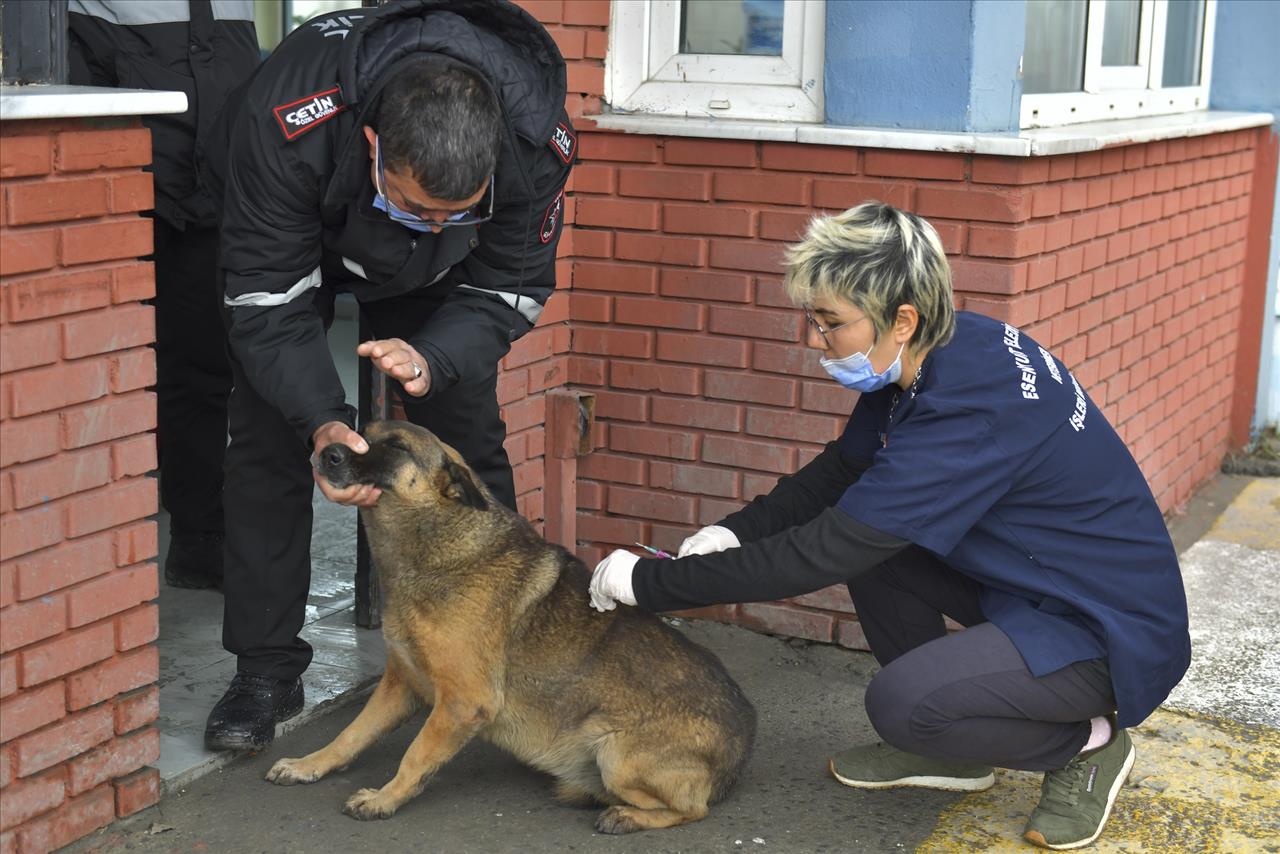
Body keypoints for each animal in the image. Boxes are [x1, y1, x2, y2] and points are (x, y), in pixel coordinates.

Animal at [264, 419, 752, 834]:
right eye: (361, 436)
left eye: (397, 448)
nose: (326, 451)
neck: (438, 542)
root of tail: (742, 741)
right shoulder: (399, 685)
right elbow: (351, 734)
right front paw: (310, 765)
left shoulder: (463, 703)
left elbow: (415, 754)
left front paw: (387, 798)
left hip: (615, 755)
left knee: (692, 808)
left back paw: (626, 814)